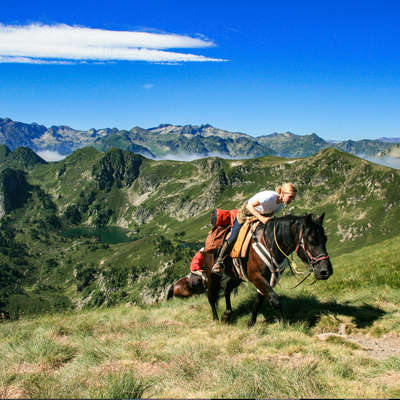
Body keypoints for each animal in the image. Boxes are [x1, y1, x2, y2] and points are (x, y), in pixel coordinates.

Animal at [203, 212, 332, 324]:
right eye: (311, 240)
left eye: (325, 239)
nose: (326, 271)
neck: (269, 243)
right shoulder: (256, 276)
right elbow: (275, 300)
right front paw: (284, 323)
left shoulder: (268, 278)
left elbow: (259, 300)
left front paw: (251, 322)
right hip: (212, 276)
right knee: (211, 297)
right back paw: (216, 319)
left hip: (236, 276)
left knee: (227, 290)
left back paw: (227, 314)